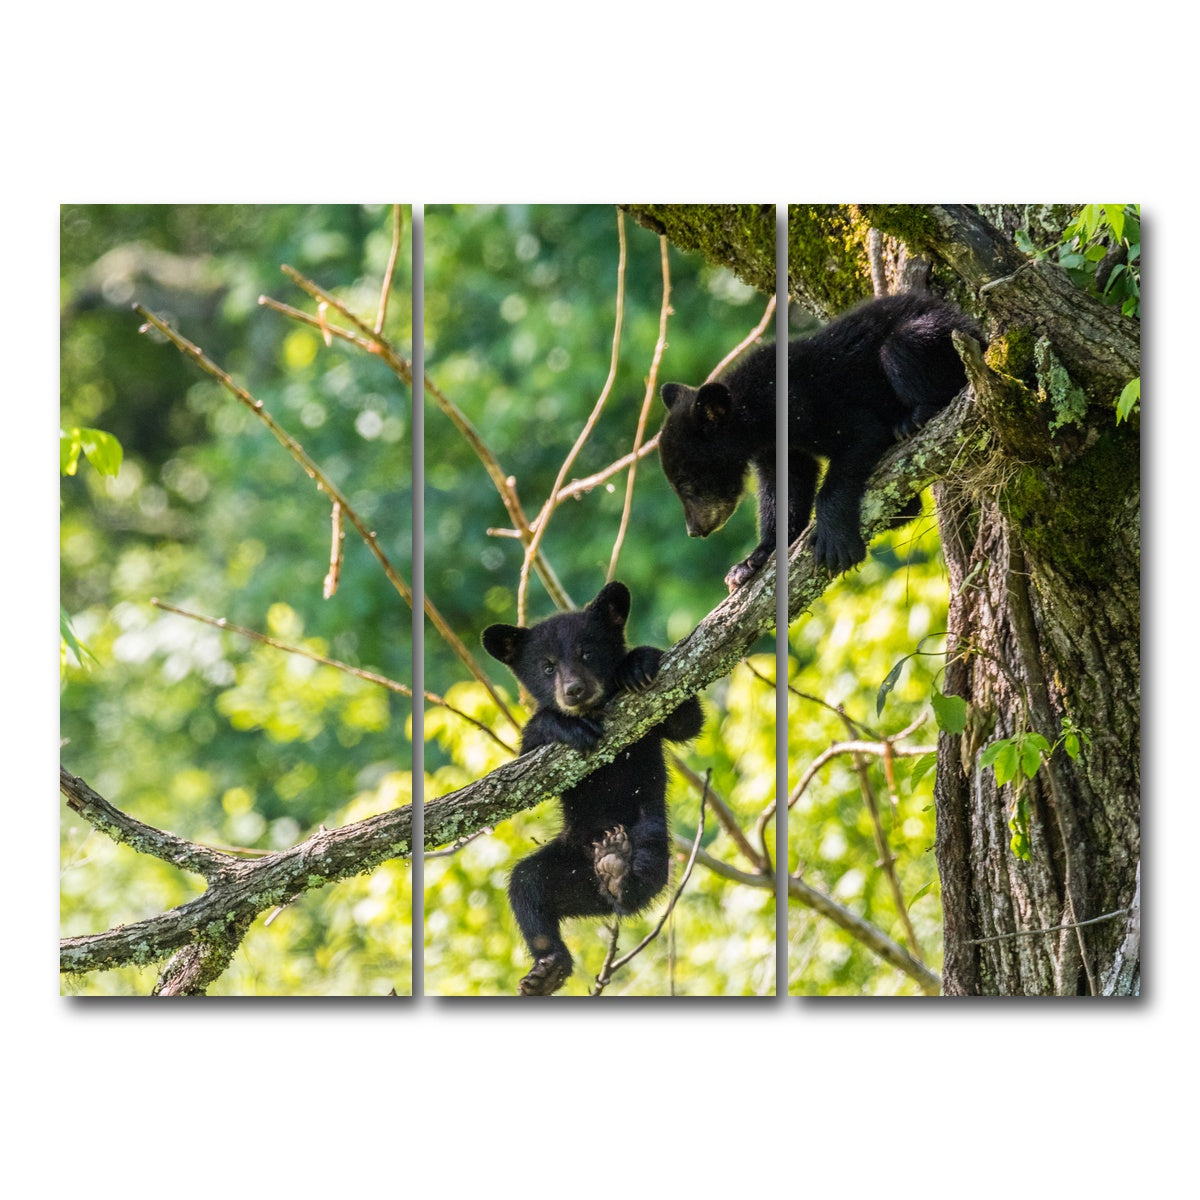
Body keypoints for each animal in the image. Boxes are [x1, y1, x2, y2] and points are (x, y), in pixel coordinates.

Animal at [482, 580, 704, 996]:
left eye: (587, 651)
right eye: (547, 666)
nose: (574, 690)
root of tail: (597, 893)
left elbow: (685, 721)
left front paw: (637, 663)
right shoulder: (531, 757)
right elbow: (527, 758)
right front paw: (565, 725)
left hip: (650, 834)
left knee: (644, 874)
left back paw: (618, 867)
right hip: (563, 867)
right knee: (526, 886)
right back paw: (548, 968)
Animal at [658, 292, 984, 589]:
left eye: (687, 485)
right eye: (675, 486)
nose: (695, 529)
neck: (757, 414)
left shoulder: (805, 404)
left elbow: (860, 433)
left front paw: (834, 541)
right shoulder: (776, 447)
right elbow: (786, 486)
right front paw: (751, 561)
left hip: (940, 337)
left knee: (901, 346)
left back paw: (914, 419)